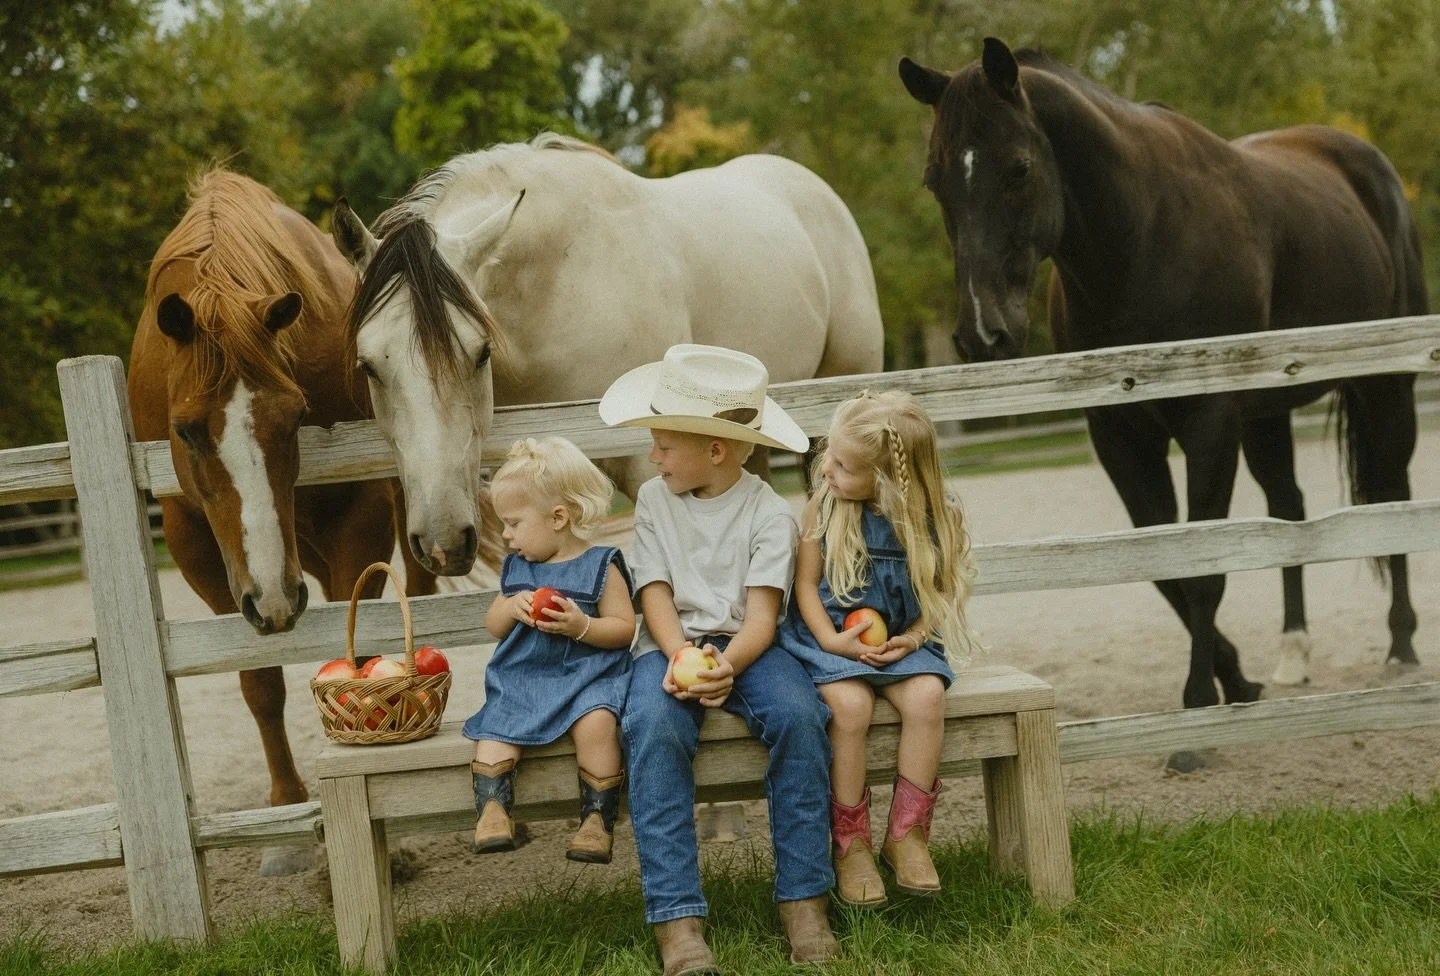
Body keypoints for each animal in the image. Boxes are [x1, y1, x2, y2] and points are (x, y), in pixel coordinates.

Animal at [127, 168, 437, 873]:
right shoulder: (198, 550)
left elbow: (364, 646)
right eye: (186, 431)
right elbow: (261, 683)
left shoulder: (361, 517)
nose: (274, 596)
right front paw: (286, 824)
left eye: (295, 417)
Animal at [899, 38, 1426, 760]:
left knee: (1393, 498)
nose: (984, 334)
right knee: (1288, 511)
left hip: (1384, 388)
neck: (1142, 238)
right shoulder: (1120, 434)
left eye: (1019, 167)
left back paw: (1402, 646)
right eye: (935, 180)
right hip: (1266, 414)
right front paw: (1238, 682)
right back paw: (1293, 654)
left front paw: (1198, 714)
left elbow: (1201, 568)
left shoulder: (1208, 421)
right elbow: (1163, 566)